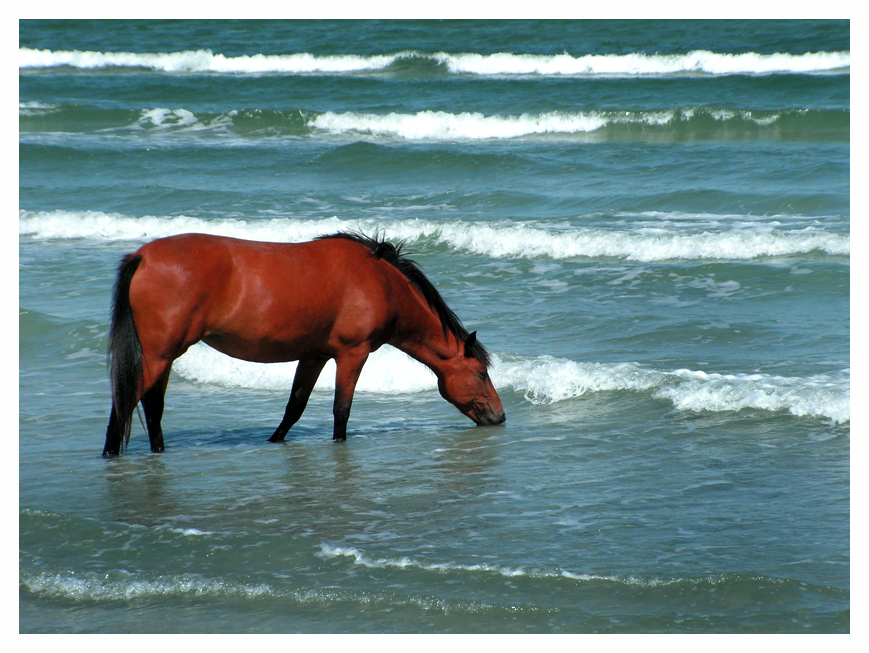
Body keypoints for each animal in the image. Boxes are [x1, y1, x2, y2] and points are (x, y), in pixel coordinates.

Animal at [102, 232, 506, 456]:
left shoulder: (314, 355)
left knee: (152, 406)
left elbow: (294, 408)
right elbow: (341, 410)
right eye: (481, 373)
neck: (382, 282)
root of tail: (143, 256)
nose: (500, 417)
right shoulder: (352, 353)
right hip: (158, 355)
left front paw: (274, 442)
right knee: (126, 402)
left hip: (165, 356)